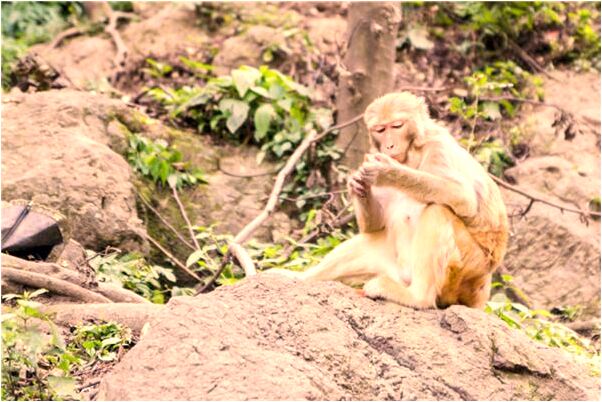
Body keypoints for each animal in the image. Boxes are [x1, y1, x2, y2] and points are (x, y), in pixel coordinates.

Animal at [268, 91, 506, 310]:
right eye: (381, 130)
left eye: (397, 126)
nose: (389, 146)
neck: (411, 154)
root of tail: (483, 289)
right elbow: (373, 226)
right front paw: (357, 186)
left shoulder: (437, 147)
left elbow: (463, 198)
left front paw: (388, 172)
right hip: (397, 270)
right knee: (370, 241)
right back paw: (299, 278)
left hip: (468, 270)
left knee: (437, 211)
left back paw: (417, 297)